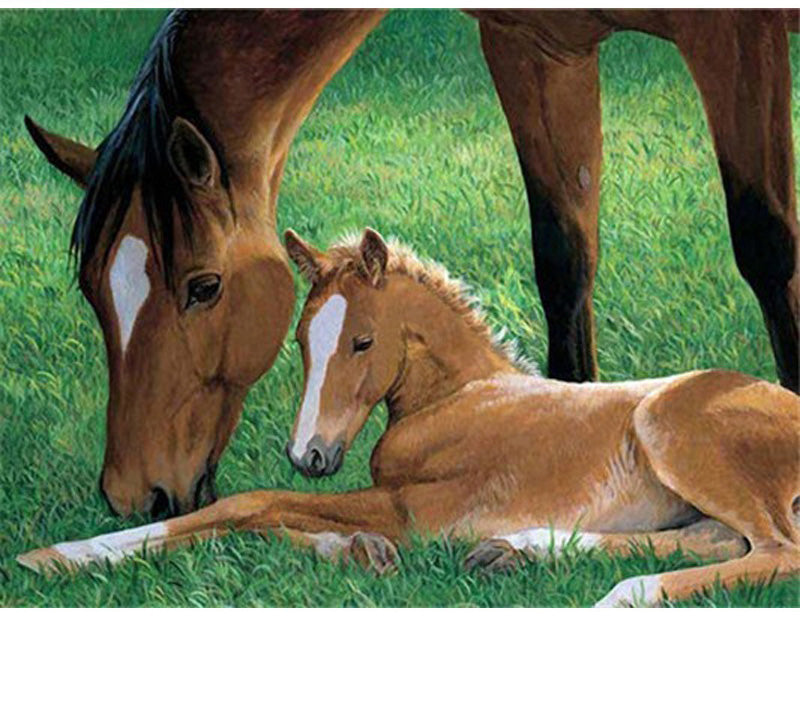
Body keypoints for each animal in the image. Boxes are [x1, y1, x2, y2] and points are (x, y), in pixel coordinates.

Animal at [18, 229, 800, 607]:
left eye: (363, 342)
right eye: (301, 340)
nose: (310, 454)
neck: (457, 398)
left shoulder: (415, 508)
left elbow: (249, 504)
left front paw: (63, 555)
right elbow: (273, 518)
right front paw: (360, 553)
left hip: (674, 430)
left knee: (774, 551)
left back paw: (622, 596)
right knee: (712, 542)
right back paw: (516, 551)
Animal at [26, 10, 799, 517]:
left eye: (203, 286)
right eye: (91, 291)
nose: (132, 494)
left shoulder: (736, 34)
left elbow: (767, 246)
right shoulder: (539, 46)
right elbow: (564, 258)